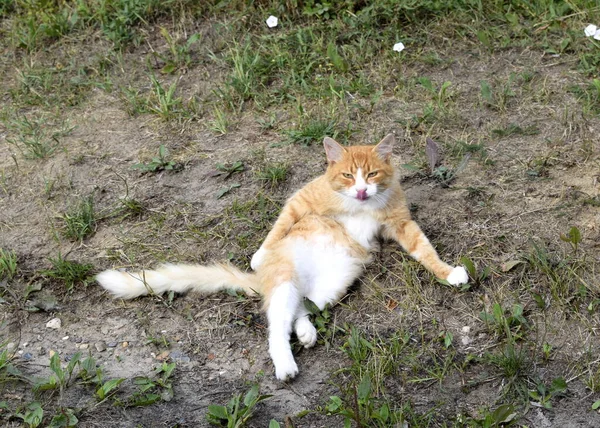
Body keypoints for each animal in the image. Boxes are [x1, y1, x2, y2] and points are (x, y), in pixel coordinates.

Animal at [96, 135, 468, 382]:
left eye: (372, 175)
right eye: (348, 176)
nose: (362, 190)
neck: (360, 205)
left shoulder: (400, 222)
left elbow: (424, 249)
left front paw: (448, 273)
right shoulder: (303, 198)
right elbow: (280, 222)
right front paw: (260, 252)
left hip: (332, 285)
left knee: (299, 309)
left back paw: (305, 332)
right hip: (287, 275)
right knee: (276, 325)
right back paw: (285, 365)